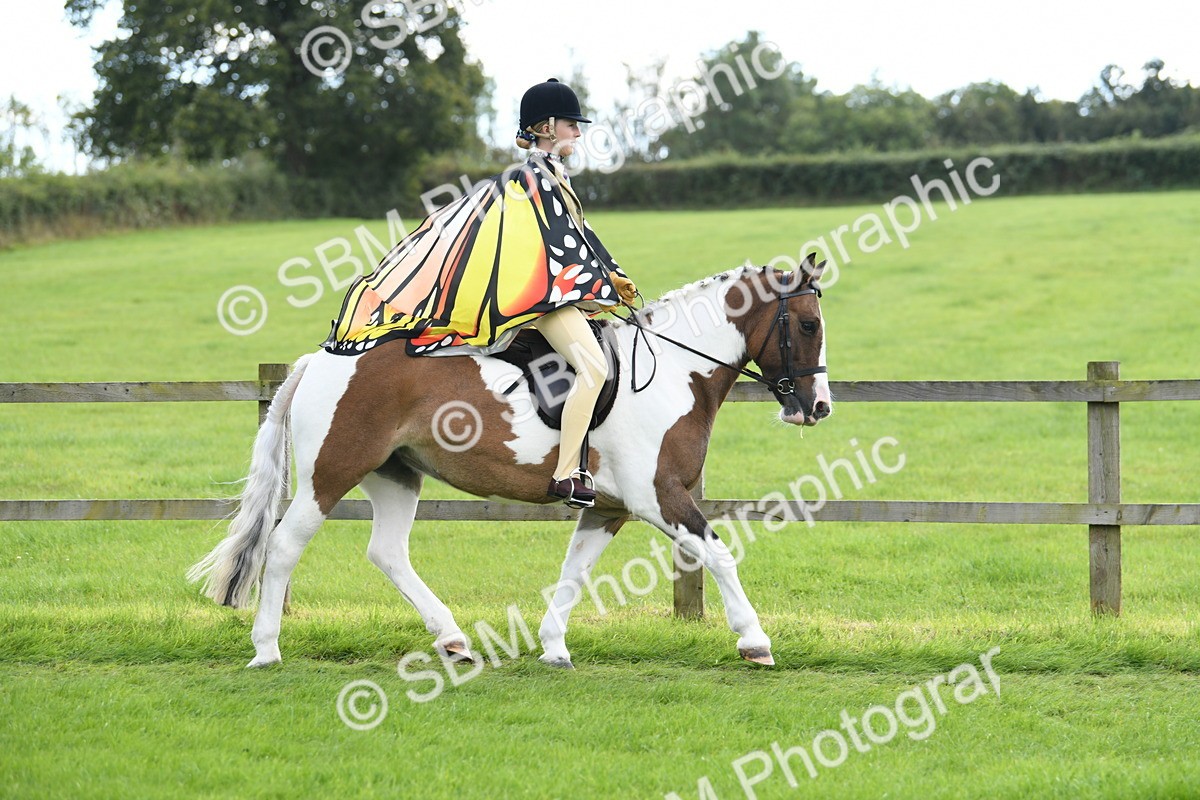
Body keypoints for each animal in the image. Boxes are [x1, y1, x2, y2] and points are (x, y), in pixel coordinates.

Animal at [189, 257, 832, 669]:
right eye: (808, 324)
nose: (818, 407)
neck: (673, 370)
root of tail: (319, 360)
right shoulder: (659, 497)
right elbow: (719, 553)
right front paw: (754, 641)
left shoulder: (609, 507)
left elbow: (575, 572)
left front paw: (553, 647)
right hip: (330, 473)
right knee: (283, 547)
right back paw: (266, 650)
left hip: (395, 474)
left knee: (387, 552)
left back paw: (452, 641)